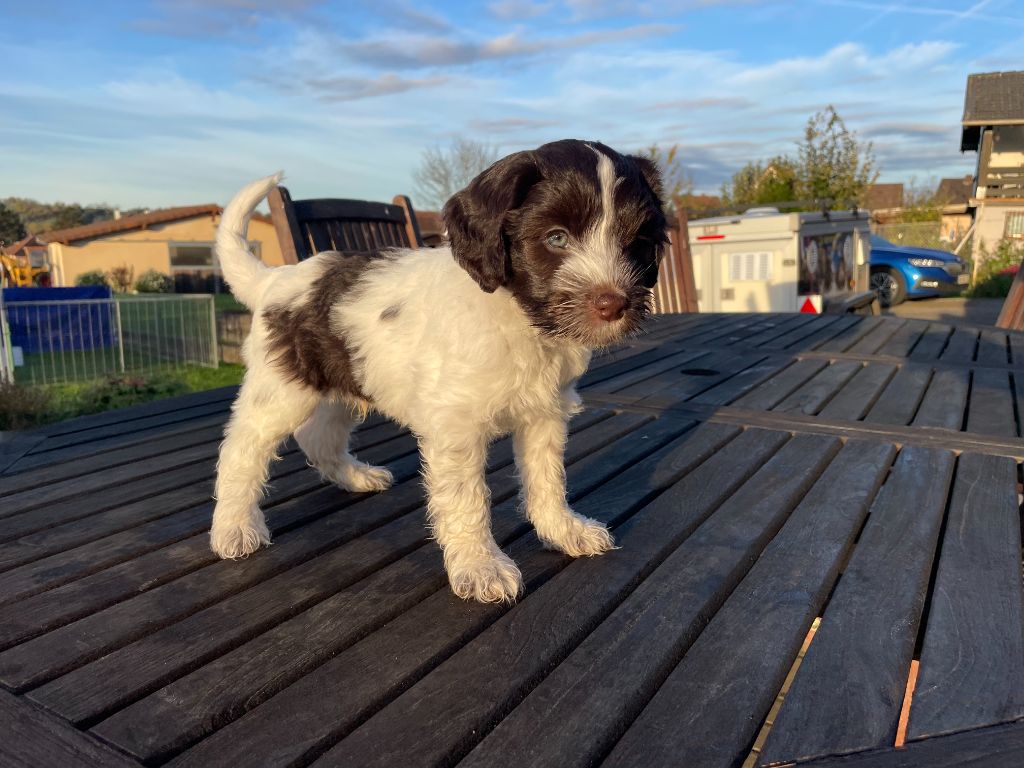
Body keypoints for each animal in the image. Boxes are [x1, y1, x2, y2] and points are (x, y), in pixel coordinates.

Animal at [209, 139, 668, 603]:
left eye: (634, 241)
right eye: (557, 238)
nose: (613, 304)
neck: (518, 318)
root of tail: (275, 278)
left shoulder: (544, 415)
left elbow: (547, 480)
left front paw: (563, 530)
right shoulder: (455, 427)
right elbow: (468, 499)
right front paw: (480, 566)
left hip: (345, 377)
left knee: (319, 435)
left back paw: (355, 477)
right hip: (281, 391)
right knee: (241, 450)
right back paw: (234, 528)